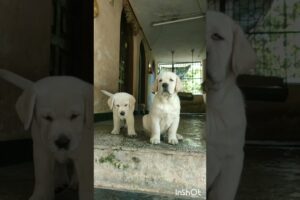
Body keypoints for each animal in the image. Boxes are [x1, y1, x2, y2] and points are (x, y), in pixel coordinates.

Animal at [0, 69, 93, 200]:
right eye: (47, 117)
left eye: (74, 116)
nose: (62, 142)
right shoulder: (41, 150)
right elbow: (42, 178)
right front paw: (40, 195)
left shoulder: (86, 154)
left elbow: (87, 183)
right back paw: (60, 181)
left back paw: (74, 182)